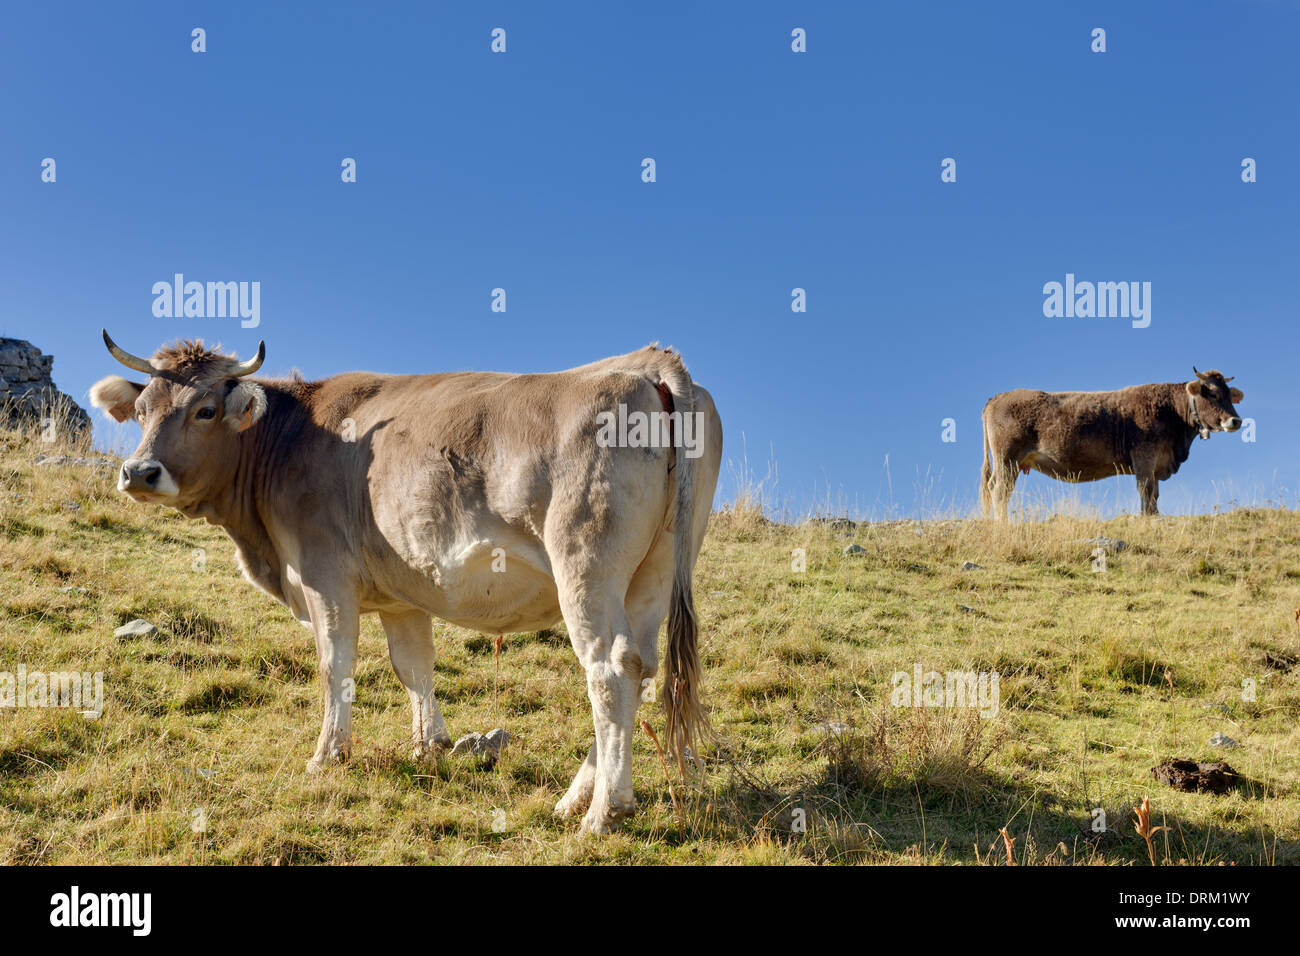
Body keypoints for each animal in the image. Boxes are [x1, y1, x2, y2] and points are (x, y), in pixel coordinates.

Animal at [91, 332, 722, 832]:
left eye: (203, 410)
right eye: (143, 409)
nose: (139, 472)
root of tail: (648, 362)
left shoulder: (324, 575)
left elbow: (336, 664)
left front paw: (328, 755)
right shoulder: (401, 593)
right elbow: (413, 665)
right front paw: (429, 747)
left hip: (585, 566)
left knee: (609, 670)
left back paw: (603, 812)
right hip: (655, 572)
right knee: (640, 666)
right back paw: (578, 798)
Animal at [977, 369, 1242, 520]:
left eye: (1230, 395)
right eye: (1213, 394)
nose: (1236, 420)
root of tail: (998, 397)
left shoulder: (1156, 463)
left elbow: (1155, 492)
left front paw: (1155, 514)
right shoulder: (1144, 456)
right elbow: (1145, 488)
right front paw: (1147, 517)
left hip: (1009, 463)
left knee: (994, 488)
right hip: (1007, 459)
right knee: (1000, 490)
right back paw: (1003, 523)